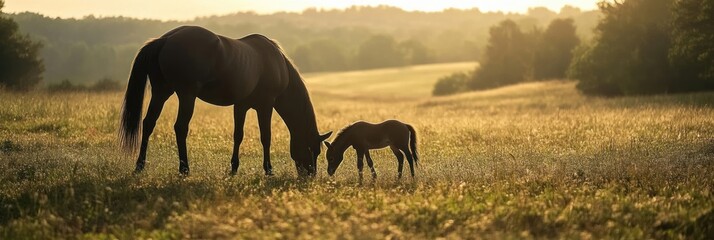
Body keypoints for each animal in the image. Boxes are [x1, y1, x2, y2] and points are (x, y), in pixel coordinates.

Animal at [119, 25, 330, 176]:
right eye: (313, 149)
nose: (309, 175)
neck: (276, 64)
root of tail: (165, 40)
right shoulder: (266, 106)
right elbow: (266, 136)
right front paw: (268, 169)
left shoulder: (241, 105)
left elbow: (238, 135)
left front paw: (234, 168)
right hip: (186, 95)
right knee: (180, 127)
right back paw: (184, 169)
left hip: (161, 92)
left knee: (148, 123)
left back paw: (140, 166)